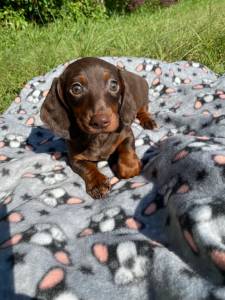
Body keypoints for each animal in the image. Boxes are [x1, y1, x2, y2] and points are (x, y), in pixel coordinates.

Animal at [40, 58, 156, 199]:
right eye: (76, 88)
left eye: (113, 85)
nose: (100, 122)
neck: (99, 136)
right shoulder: (75, 158)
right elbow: (87, 168)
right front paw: (97, 182)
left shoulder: (126, 133)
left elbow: (127, 148)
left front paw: (129, 166)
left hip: (141, 98)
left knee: (143, 109)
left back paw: (148, 121)